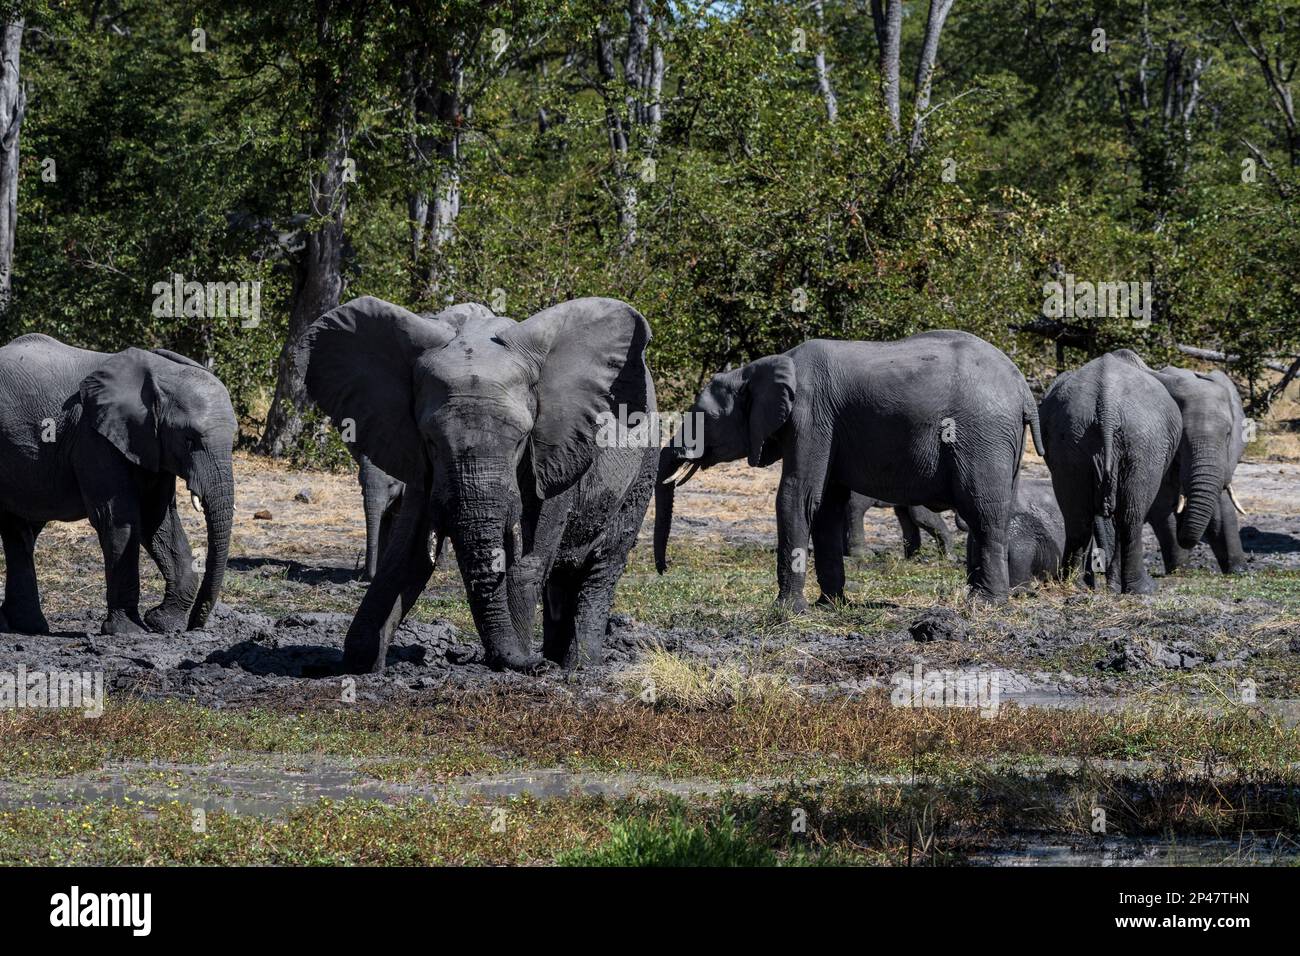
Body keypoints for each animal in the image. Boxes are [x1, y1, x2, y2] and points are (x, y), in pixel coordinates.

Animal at [0, 334, 236, 635]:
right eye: (189, 439)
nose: (195, 624)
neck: (159, 373)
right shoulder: (93, 438)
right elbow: (117, 519)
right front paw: (128, 630)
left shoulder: (151, 445)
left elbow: (157, 521)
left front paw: (162, 622)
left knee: (19, 530)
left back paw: (26, 626)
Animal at [304, 295, 656, 674]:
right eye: (430, 441)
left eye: (521, 441)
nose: (534, 665)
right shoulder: (423, 466)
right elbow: (408, 555)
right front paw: (361, 663)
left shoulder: (554, 453)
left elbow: (525, 564)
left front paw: (517, 662)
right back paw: (557, 657)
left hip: (643, 467)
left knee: (602, 567)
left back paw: (579, 665)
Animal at [655, 330, 1044, 606]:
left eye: (704, 416)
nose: (663, 571)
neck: (761, 366)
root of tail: (1023, 387)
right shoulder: (828, 427)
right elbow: (826, 505)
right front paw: (829, 605)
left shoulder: (810, 416)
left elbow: (797, 496)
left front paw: (787, 610)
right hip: (1001, 442)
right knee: (991, 511)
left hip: (983, 435)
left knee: (983, 511)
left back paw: (986, 604)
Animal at [1040, 349, 1207, 594]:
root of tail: (1106, 406)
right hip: (1143, 444)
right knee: (1131, 516)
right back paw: (1142, 588)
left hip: (1072, 436)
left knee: (1077, 517)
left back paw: (1078, 586)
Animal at [1144, 367, 1248, 574]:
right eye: (1181, 438)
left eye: (1228, 434)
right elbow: (1162, 508)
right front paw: (1181, 571)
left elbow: (1221, 508)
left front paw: (1239, 571)